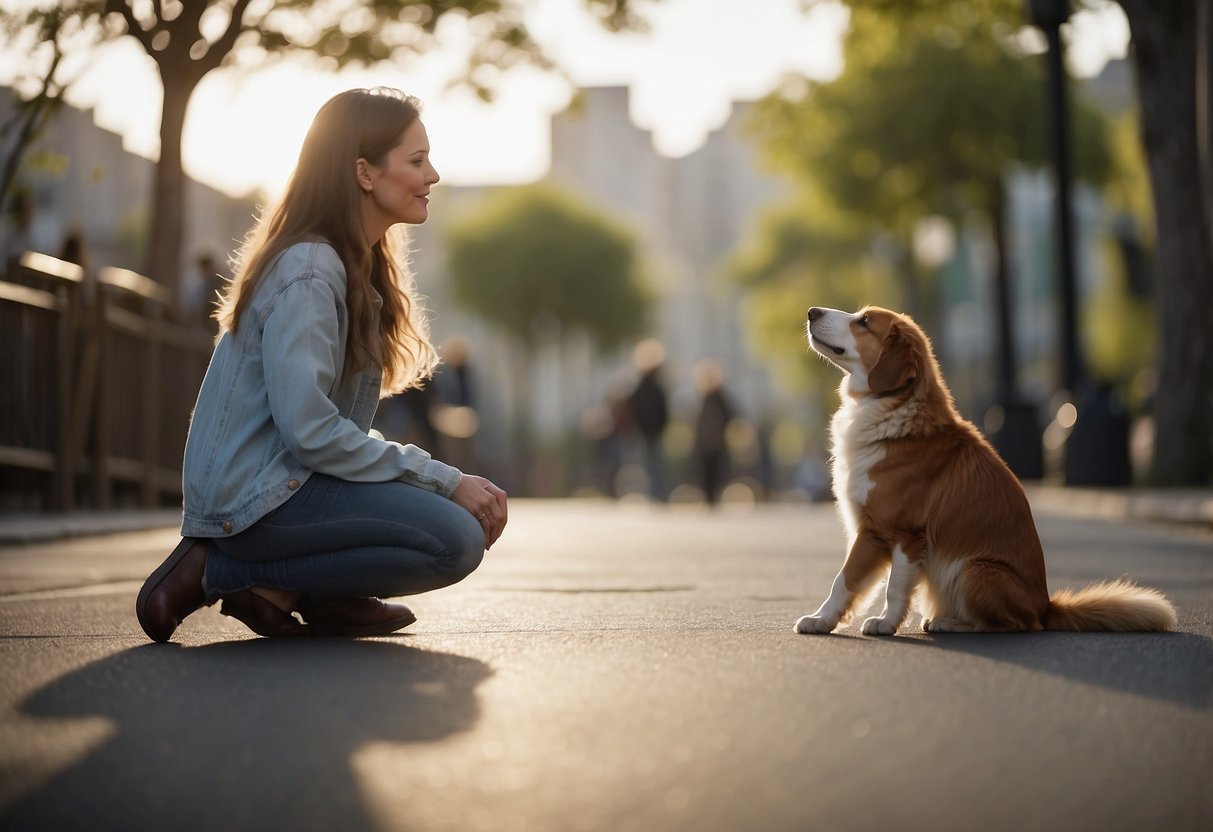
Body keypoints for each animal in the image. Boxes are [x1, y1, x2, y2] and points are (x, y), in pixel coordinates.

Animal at [795, 308, 1174, 640]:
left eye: (864, 321)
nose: (812, 311)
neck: (894, 413)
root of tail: (1045, 606)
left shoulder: (897, 532)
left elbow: (865, 583)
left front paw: (877, 623)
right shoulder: (872, 531)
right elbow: (850, 582)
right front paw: (823, 620)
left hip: (974, 570)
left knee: (1014, 625)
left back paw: (951, 623)